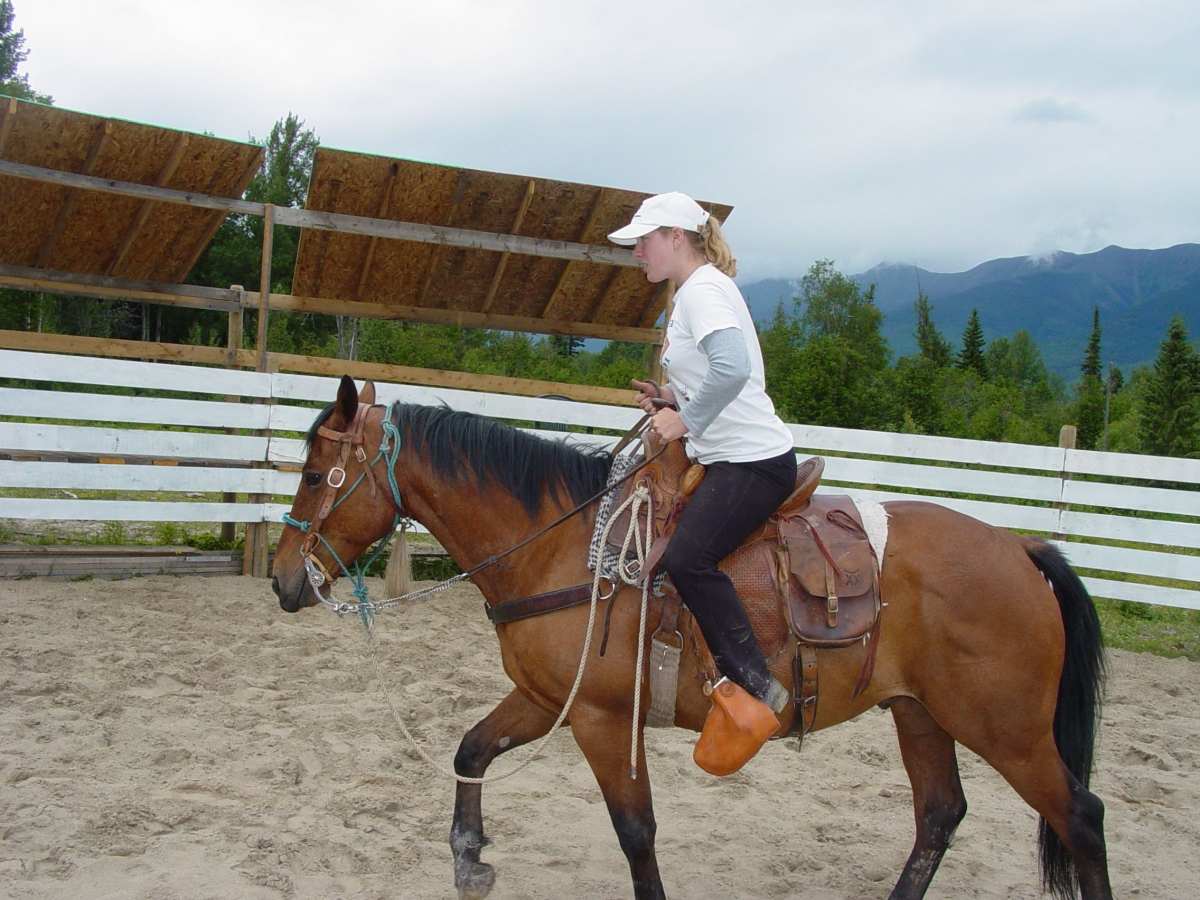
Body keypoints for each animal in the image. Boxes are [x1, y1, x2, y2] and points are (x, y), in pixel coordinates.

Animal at [271, 376, 1111, 900]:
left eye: (314, 475)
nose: (282, 579)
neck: (563, 547)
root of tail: (1020, 548)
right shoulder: (546, 698)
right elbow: (471, 750)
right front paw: (470, 859)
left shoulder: (603, 719)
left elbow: (635, 830)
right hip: (922, 714)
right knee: (939, 815)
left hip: (1007, 729)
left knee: (1081, 818)